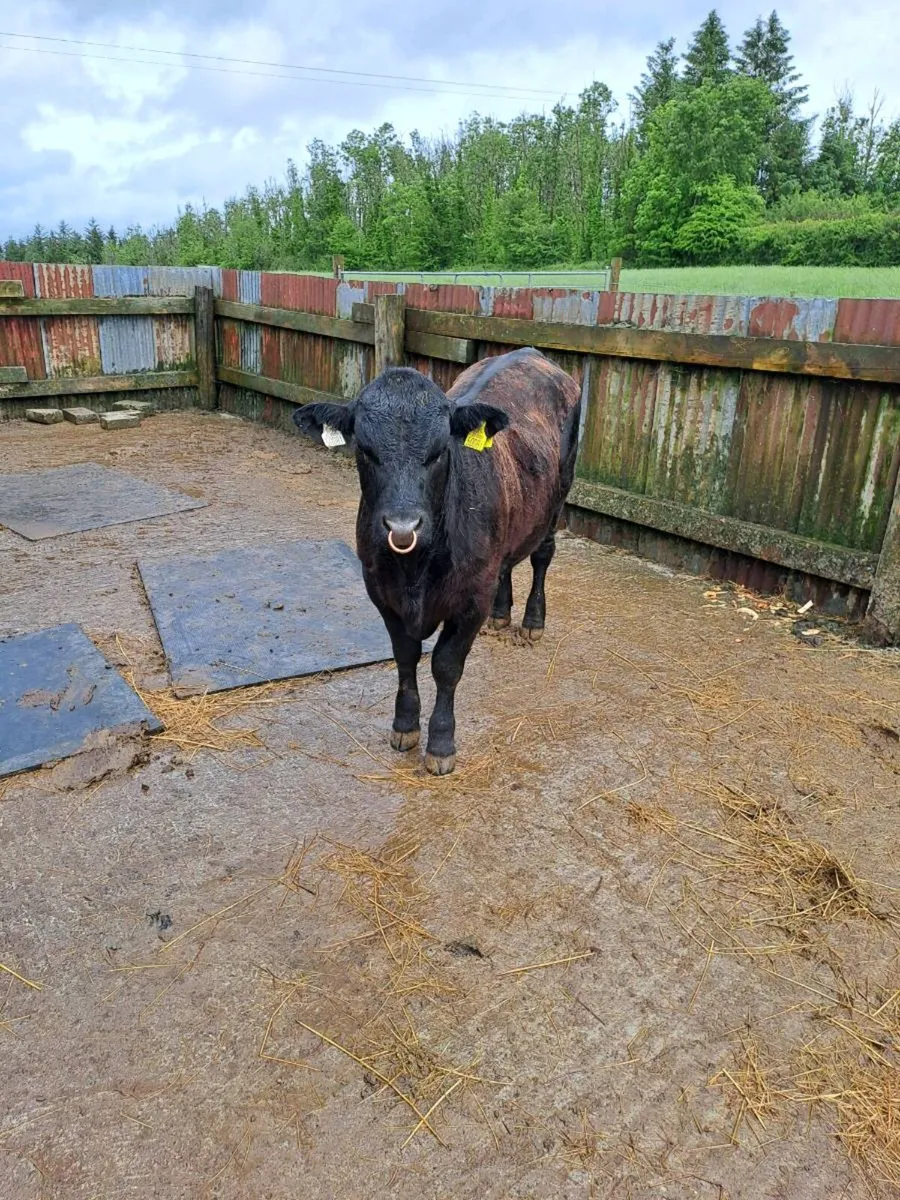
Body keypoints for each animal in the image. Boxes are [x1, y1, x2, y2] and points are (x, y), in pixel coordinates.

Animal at [293, 346, 581, 775]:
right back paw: (501, 616)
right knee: (507, 563)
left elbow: (445, 665)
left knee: (542, 556)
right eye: (365, 450)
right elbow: (405, 656)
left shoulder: (471, 600)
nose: (402, 526)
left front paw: (441, 744)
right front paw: (404, 726)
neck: (416, 569)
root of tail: (533, 354)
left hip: (558, 497)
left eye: (439, 450)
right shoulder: (381, 591)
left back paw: (532, 622)